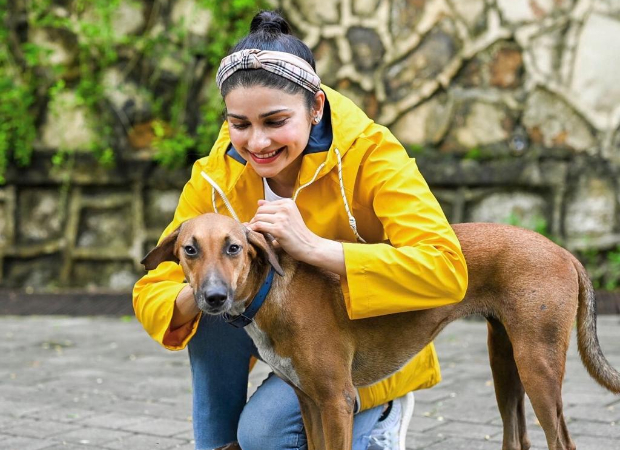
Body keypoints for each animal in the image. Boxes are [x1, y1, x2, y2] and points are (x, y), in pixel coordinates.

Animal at [143, 214, 620, 450]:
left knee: (562, 443)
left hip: (538, 368)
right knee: (517, 439)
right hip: (506, 364)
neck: (271, 291)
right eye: (189, 250)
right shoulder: (311, 402)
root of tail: (566, 253)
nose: (213, 298)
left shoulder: (337, 402)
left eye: (234, 248)